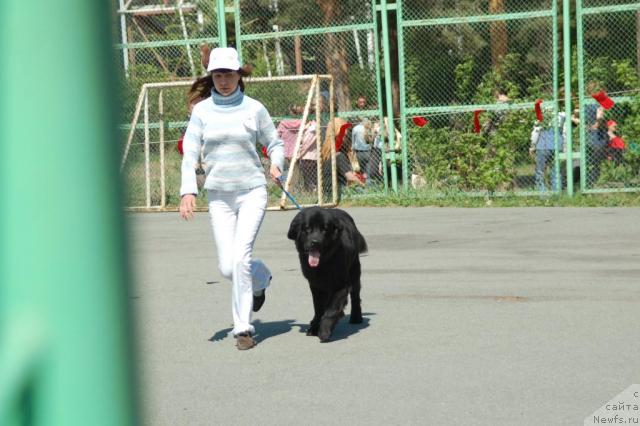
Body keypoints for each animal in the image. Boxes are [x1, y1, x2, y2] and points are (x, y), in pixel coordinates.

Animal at [288, 206, 368, 342]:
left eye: (324, 229)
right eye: (307, 228)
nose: (315, 242)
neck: (323, 264)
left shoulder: (341, 285)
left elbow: (331, 309)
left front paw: (324, 331)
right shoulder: (315, 285)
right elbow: (319, 308)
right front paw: (315, 327)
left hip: (354, 270)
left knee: (355, 295)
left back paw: (356, 317)